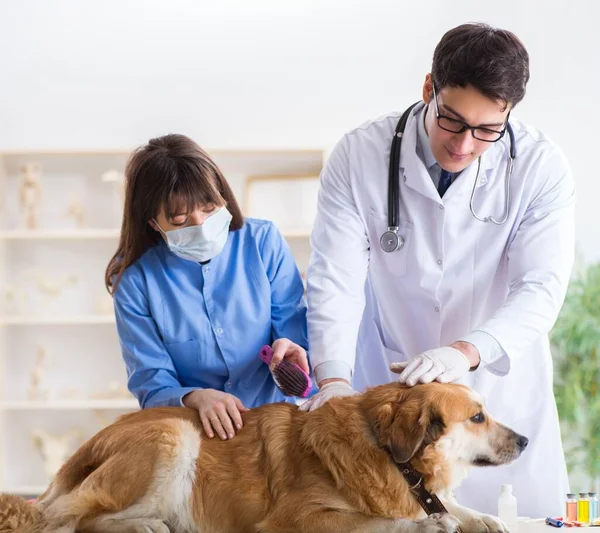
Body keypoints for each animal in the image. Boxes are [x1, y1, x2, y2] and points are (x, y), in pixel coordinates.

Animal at [0, 382, 528, 532]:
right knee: (74, 521)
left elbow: (451, 505)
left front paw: (483, 518)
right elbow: (376, 522)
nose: (524, 440)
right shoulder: (297, 517)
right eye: (478, 417)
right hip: (173, 435)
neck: (385, 450)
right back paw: (144, 525)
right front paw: (425, 526)